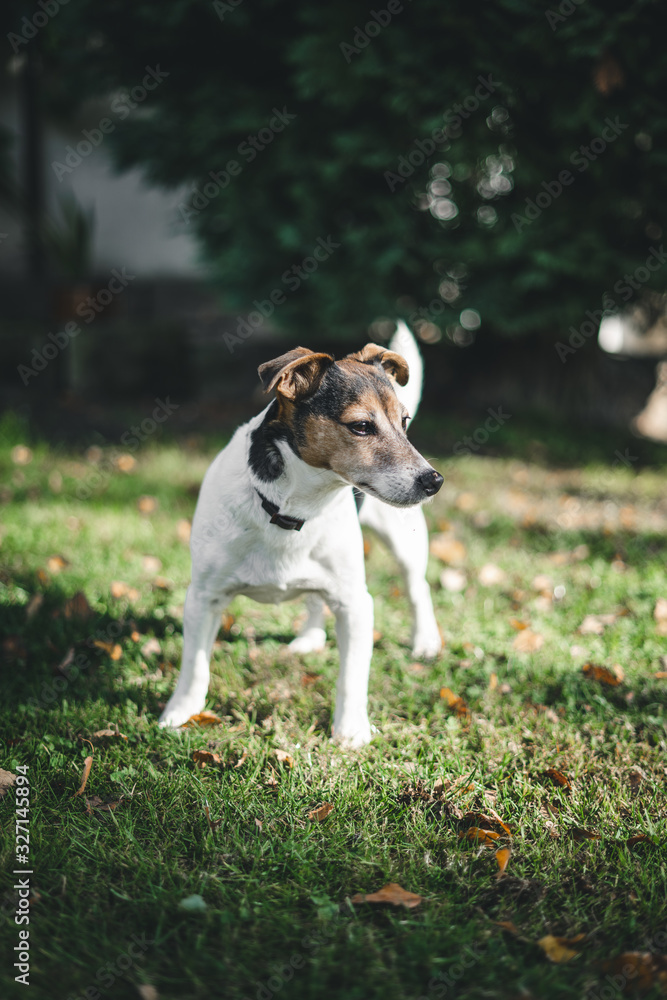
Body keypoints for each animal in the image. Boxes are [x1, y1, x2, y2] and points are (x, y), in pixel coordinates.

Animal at [159, 320, 444, 744]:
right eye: (361, 426)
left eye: (404, 422)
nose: (433, 480)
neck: (294, 508)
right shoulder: (203, 597)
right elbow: (194, 666)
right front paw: (181, 712)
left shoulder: (355, 605)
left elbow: (352, 678)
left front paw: (351, 731)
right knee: (314, 598)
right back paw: (310, 637)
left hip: (403, 546)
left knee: (417, 589)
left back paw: (425, 641)